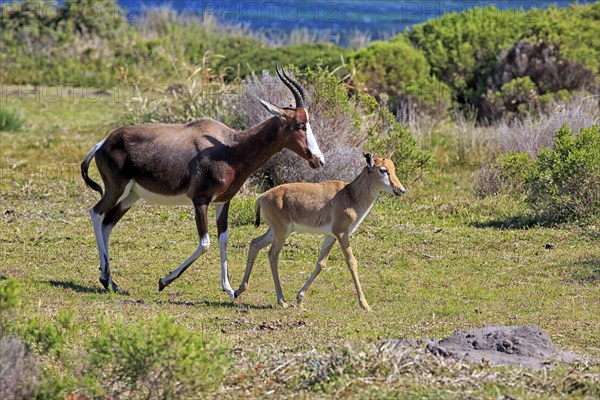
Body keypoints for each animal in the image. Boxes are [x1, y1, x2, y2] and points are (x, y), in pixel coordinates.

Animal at [233, 152, 404, 310]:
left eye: (393, 168)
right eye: (383, 170)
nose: (401, 190)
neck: (349, 194)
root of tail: (262, 197)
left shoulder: (330, 237)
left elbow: (321, 263)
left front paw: (300, 299)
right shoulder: (342, 234)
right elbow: (352, 262)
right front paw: (365, 305)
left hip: (274, 232)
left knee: (255, 243)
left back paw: (238, 290)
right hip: (281, 234)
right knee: (272, 255)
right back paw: (282, 301)